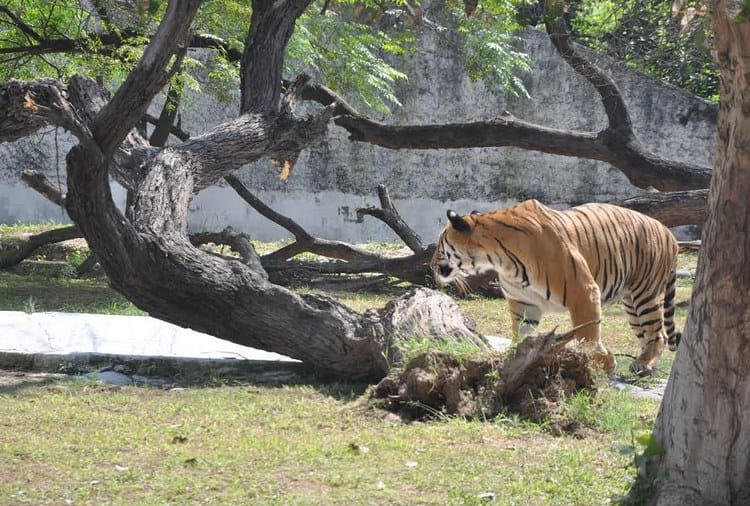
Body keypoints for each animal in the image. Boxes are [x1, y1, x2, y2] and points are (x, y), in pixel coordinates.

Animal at [430, 199, 681, 376]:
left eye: (440, 245)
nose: (431, 265)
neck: (499, 259)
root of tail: (668, 231)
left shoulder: (584, 292)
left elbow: (587, 336)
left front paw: (603, 363)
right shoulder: (523, 303)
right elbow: (522, 333)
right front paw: (515, 358)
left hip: (646, 294)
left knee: (659, 334)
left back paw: (644, 365)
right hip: (631, 304)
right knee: (647, 334)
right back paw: (643, 363)